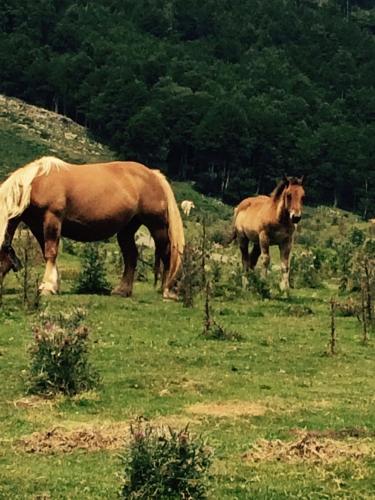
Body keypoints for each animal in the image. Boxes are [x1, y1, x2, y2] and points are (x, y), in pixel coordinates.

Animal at [0, 156, 185, 296]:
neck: (37, 183)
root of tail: (153, 174)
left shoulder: (52, 219)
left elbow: (51, 252)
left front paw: (47, 287)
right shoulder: (38, 227)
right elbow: (48, 254)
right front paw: (54, 284)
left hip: (157, 226)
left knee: (167, 253)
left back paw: (167, 290)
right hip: (126, 230)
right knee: (131, 256)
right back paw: (122, 291)